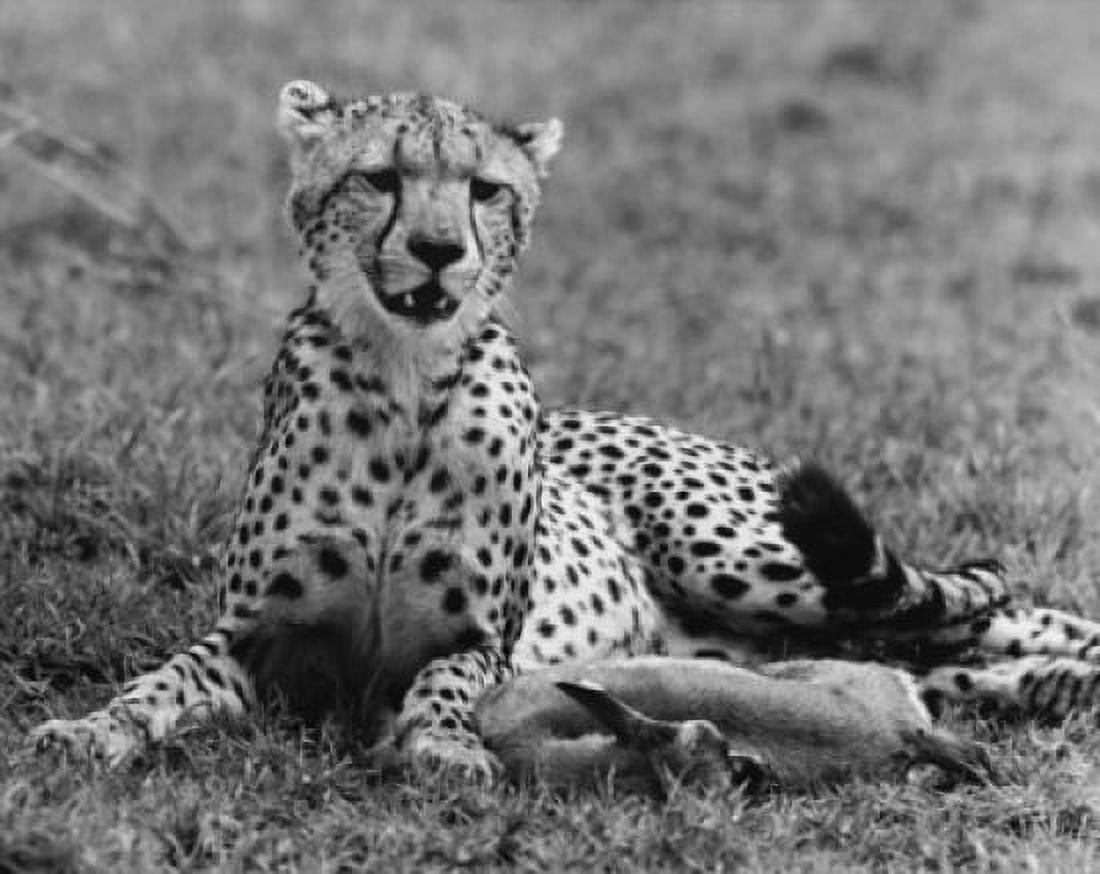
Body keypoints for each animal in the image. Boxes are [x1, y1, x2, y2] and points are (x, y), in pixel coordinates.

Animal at [31, 80, 1100, 782]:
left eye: (485, 189)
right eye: (378, 177)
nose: (437, 250)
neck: (402, 375)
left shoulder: (479, 641)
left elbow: (444, 683)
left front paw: (445, 745)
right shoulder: (259, 639)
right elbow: (158, 684)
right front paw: (86, 732)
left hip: (754, 561)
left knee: (987, 606)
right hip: (770, 646)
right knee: (950, 659)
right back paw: (1048, 686)